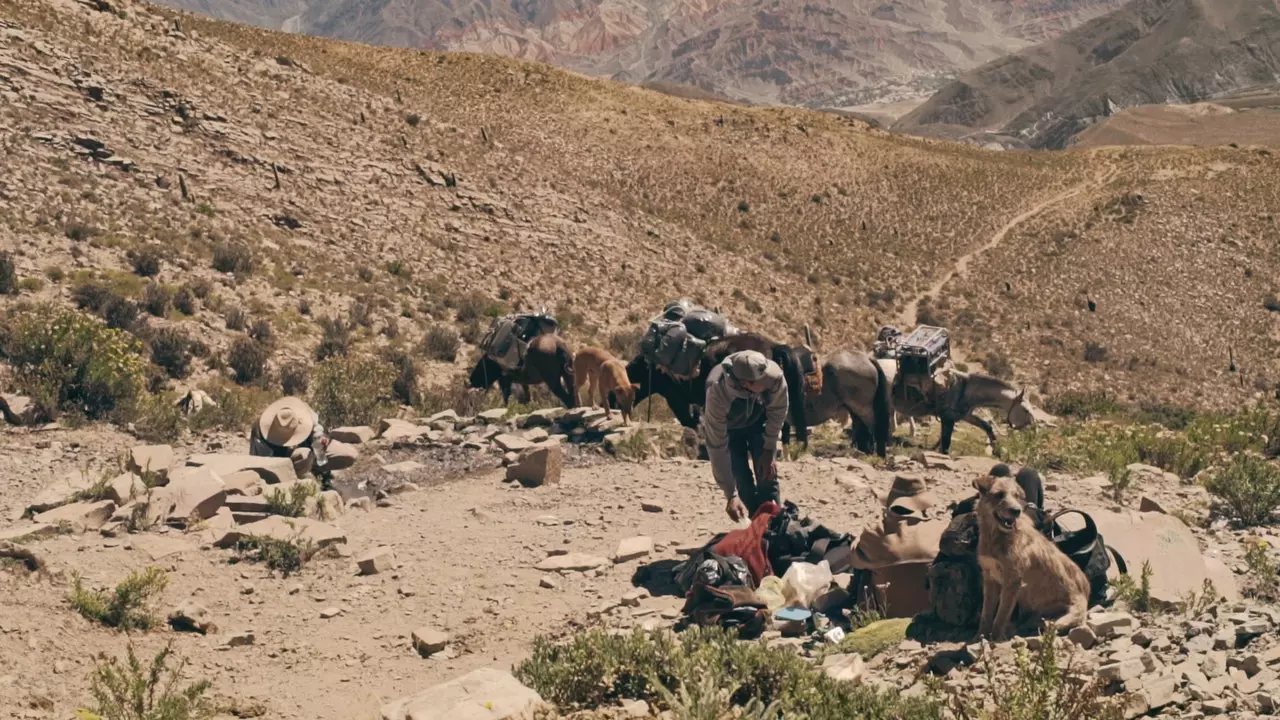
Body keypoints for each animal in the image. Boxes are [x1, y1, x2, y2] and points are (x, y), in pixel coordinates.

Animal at [972, 474, 1085, 635]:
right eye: (999, 494)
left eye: (1017, 496)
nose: (1016, 511)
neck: (997, 536)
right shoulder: (990, 577)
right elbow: (986, 614)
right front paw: (979, 636)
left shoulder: (1013, 581)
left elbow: (1000, 616)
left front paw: (994, 637)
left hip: (1064, 617)